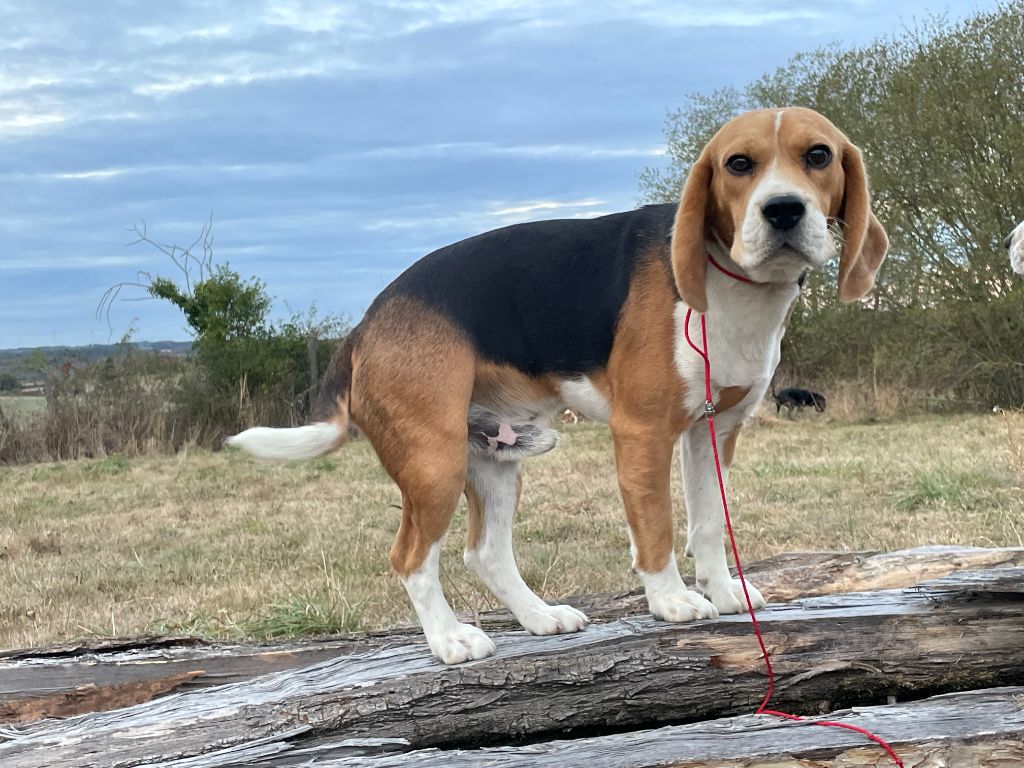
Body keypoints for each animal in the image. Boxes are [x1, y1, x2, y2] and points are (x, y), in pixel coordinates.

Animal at [228, 108, 884, 667]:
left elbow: (706, 524)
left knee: (485, 552)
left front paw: (723, 592)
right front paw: (671, 601)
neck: (731, 284)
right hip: (434, 463)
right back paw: (449, 640)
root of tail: (365, 324)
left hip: (495, 457)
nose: (783, 211)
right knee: (410, 557)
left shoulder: (713, 431)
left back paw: (540, 617)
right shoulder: (642, 434)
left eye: (819, 155)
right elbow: (658, 527)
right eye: (738, 164)